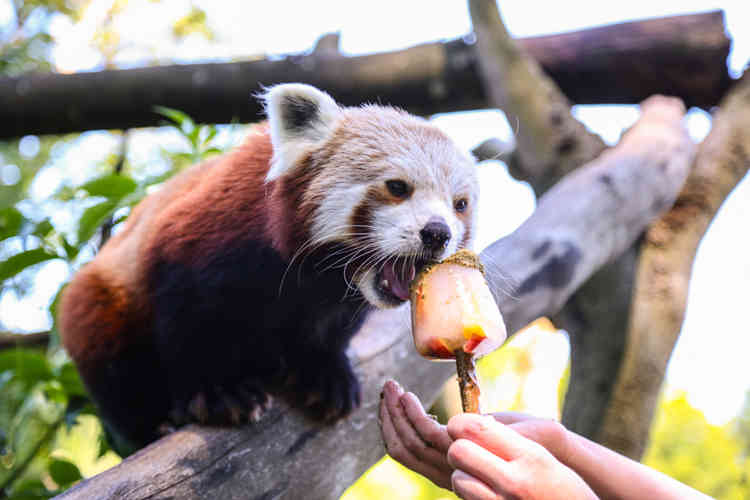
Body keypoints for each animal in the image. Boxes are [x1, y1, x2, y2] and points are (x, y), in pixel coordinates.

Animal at [60, 85, 482, 454]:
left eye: (460, 205)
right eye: (397, 187)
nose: (437, 233)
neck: (317, 277)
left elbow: (327, 333)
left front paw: (324, 370)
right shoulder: (206, 236)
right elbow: (188, 316)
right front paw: (217, 391)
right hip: (102, 299)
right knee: (112, 356)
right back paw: (156, 421)